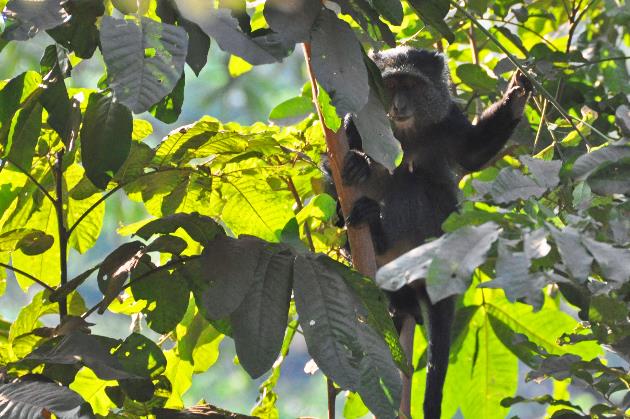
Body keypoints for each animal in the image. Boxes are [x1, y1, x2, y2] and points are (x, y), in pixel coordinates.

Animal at [336, 46, 532, 419]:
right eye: (391, 85)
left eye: (412, 86)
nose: (398, 106)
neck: (406, 132)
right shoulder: (356, 122)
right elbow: (336, 165)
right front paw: (357, 164)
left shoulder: (449, 122)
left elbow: (471, 155)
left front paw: (515, 95)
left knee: (413, 182)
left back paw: (378, 230)